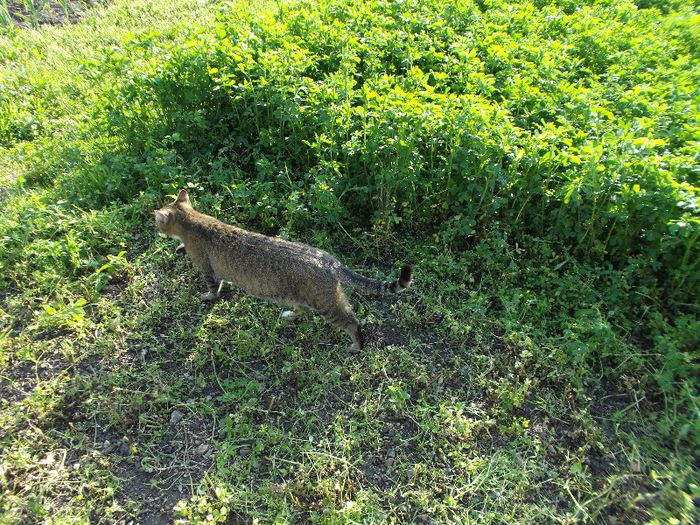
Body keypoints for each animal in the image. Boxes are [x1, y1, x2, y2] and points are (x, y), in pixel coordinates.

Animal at [156, 188, 412, 348]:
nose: (154, 223)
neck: (195, 221)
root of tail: (328, 259)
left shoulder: (207, 268)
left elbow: (212, 287)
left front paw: (208, 296)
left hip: (325, 302)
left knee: (351, 322)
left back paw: (357, 345)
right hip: (296, 294)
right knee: (301, 309)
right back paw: (290, 315)